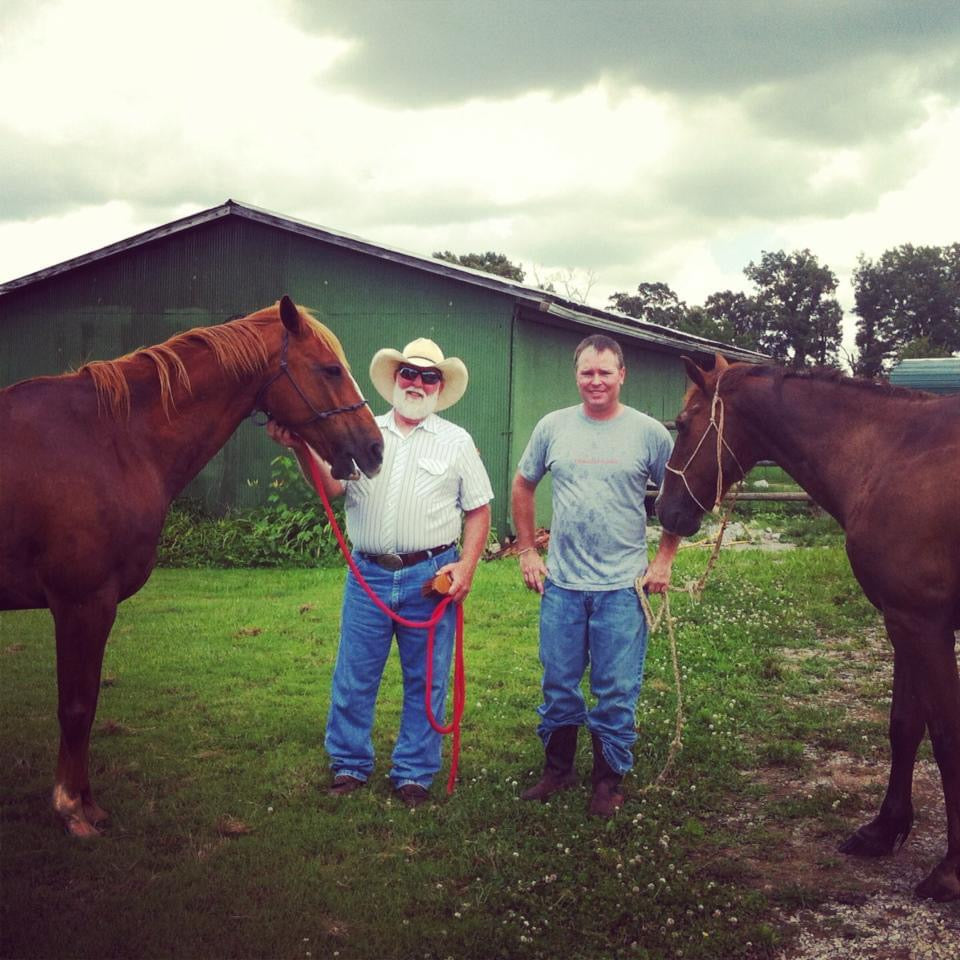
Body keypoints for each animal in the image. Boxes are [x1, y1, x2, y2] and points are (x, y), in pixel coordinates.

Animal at [0, 296, 382, 836]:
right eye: (330, 369)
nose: (375, 449)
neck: (109, 440)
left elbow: (84, 705)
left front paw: (86, 803)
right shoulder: (81, 602)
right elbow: (77, 706)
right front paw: (72, 808)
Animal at [660, 352, 960, 900]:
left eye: (685, 423)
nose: (664, 510)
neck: (894, 456)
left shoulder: (925, 627)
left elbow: (948, 739)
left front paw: (951, 870)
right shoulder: (903, 622)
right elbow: (905, 726)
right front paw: (883, 831)